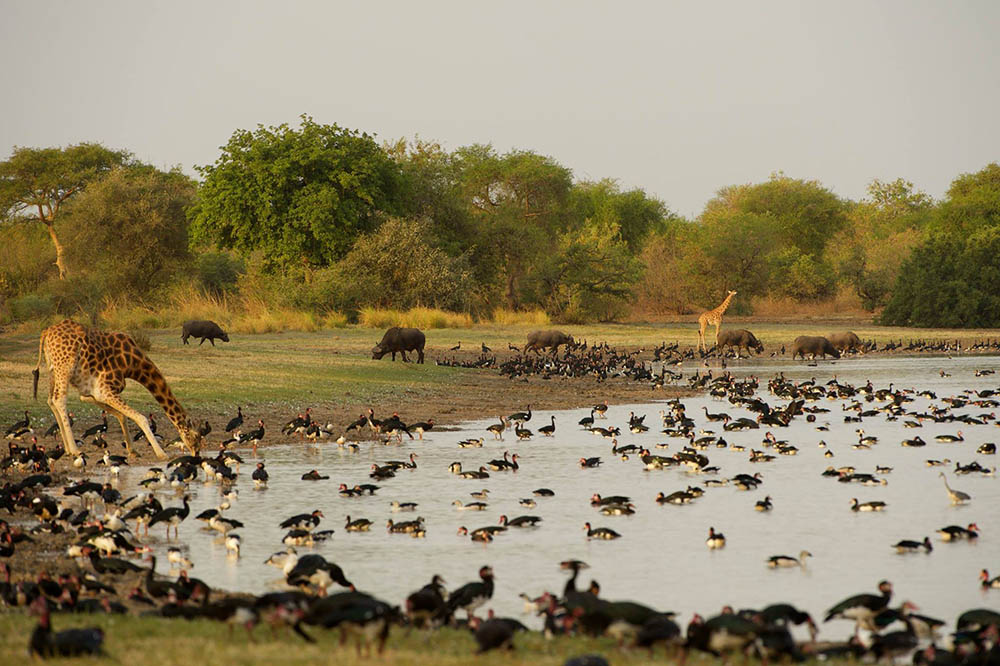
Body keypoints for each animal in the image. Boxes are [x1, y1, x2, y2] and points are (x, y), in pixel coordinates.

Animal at [33, 320, 202, 460]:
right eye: (197, 436)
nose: (197, 453)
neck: (133, 365)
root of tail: (46, 332)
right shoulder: (105, 390)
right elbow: (141, 418)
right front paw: (162, 454)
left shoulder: (93, 392)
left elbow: (122, 415)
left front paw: (132, 451)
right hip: (65, 367)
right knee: (59, 400)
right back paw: (75, 450)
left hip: (52, 370)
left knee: (50, 400)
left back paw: (68, 449)